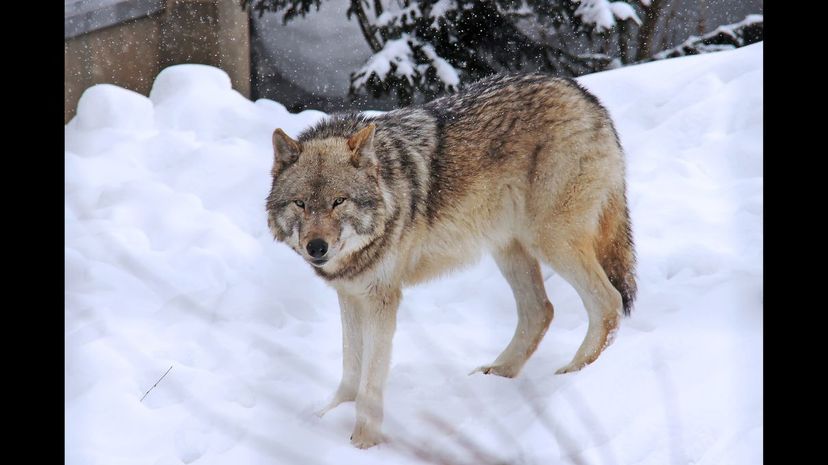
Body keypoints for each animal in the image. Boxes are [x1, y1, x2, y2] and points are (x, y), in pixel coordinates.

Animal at [265, 73, 636, 448]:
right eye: (300, 204)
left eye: (338, 201)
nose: (317, 247)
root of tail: (585, 96)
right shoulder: (351, 295)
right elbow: (351, 367)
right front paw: (330, 416)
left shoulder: (382, 298)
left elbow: (371, 376)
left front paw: (363, 442)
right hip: (509, 248)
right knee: (540, 311)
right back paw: (498, 373)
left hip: (551, 241)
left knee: (608, 302)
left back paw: (574, 375)